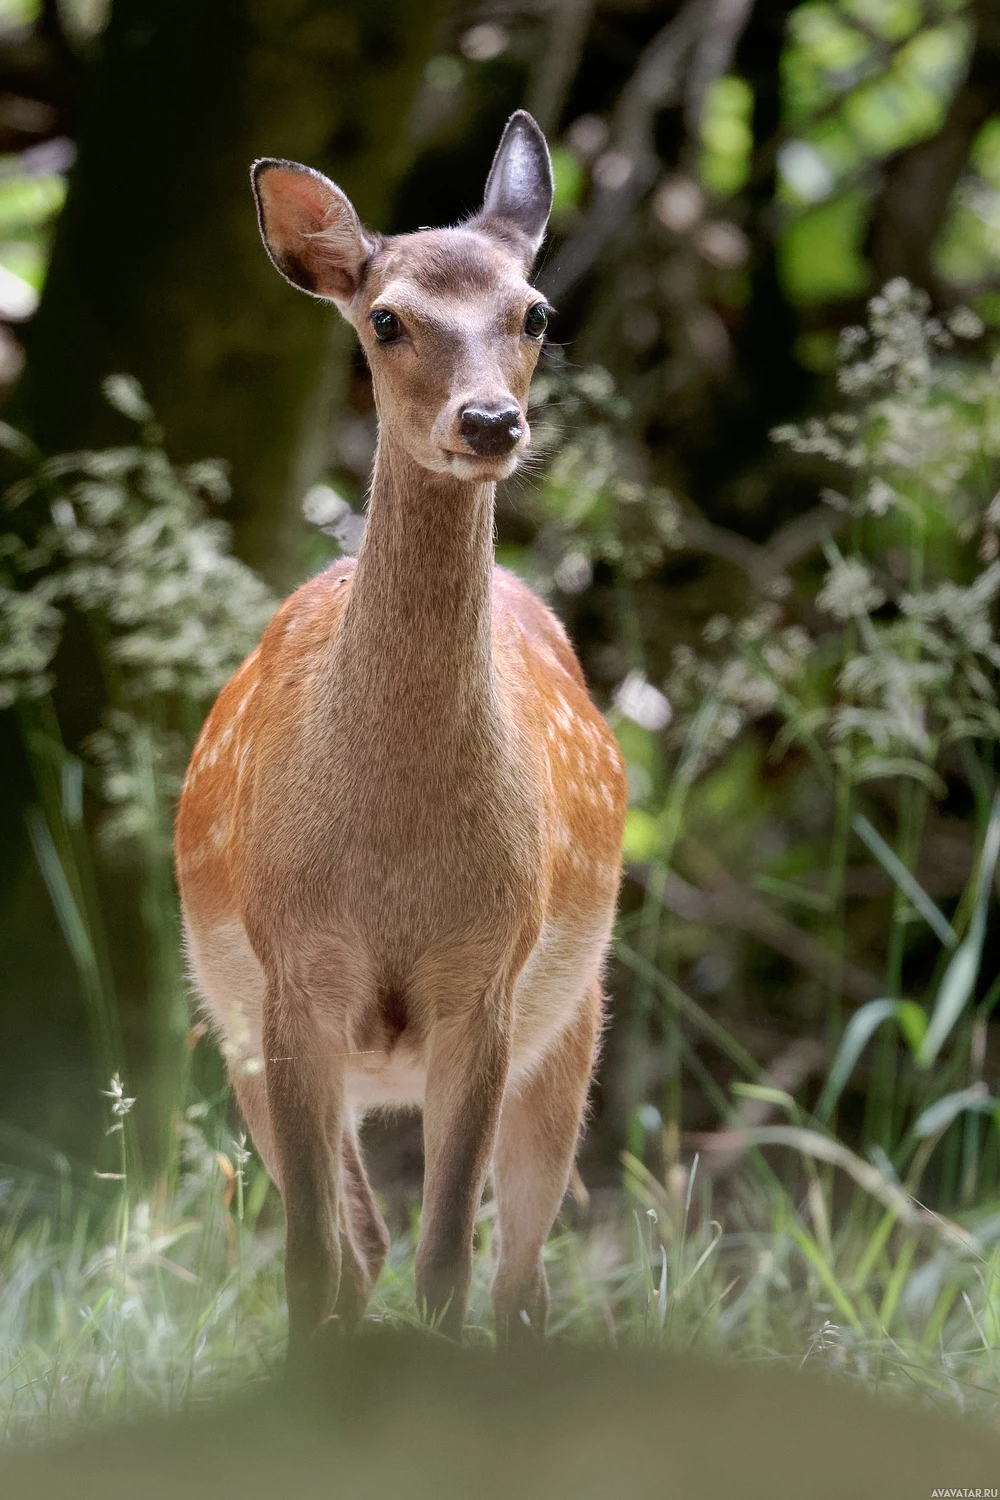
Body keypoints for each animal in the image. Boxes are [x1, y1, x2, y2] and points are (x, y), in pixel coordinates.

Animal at [173, 111, 626, 1356]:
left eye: (535, 311)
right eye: (386, 318)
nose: (488, 420)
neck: (391, 855)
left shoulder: (488, 980)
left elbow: (447, 1266)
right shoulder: (289, 981)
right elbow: (313, 1262)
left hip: (574, 1021)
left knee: (521, 1272)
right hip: (233, 1030)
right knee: (360, 1248)